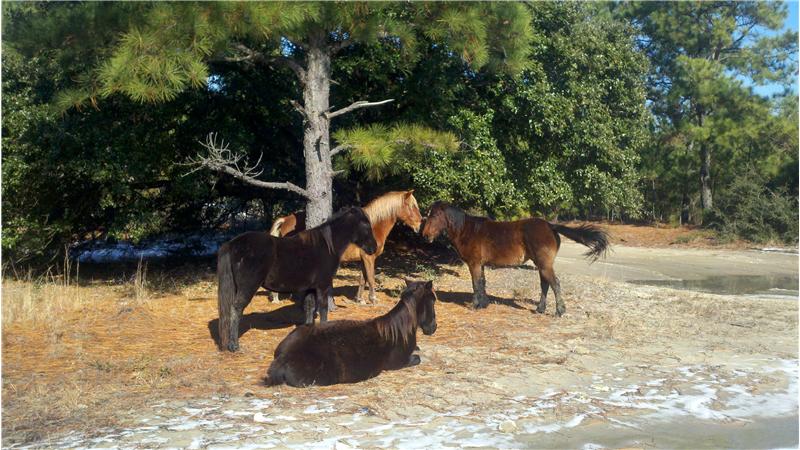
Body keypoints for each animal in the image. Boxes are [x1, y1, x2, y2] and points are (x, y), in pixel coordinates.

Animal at [216, 207, 377, 352]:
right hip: (248, 287)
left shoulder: (310, 288)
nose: (374, 248)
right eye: (365, 225)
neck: (326, 246)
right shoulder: (323, 286)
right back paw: (234, 346)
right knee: (236, 309)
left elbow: (309, 307)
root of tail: (232, 244)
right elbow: (323, 309)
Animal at [265, 279, 437, 387]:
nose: (433, 328)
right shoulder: (399, 363)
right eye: (433, 301)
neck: (398, 331)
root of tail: (284, 357)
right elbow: (417, 358)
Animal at [269, 190, 422, 304]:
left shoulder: (363, 259)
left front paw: (360, 300)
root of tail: (285, 220)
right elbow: (371, 278)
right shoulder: (369, 258)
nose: (420, 224)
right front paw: (373, 299)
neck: (372, 226)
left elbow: (362, 279)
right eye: (412, 206)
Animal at [421, 201, 609, 316]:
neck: (468, 230)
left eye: (434, 216)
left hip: (544, 264)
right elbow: (482, 283)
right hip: (541, 265)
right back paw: (540, 309)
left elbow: (476, 284)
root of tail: (550, 225)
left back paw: (559, 311)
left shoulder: (474, 264)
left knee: (554, 284)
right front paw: (484, 304)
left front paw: (475, 305)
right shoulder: (481, 265)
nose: (425, 235)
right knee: (545, 284)